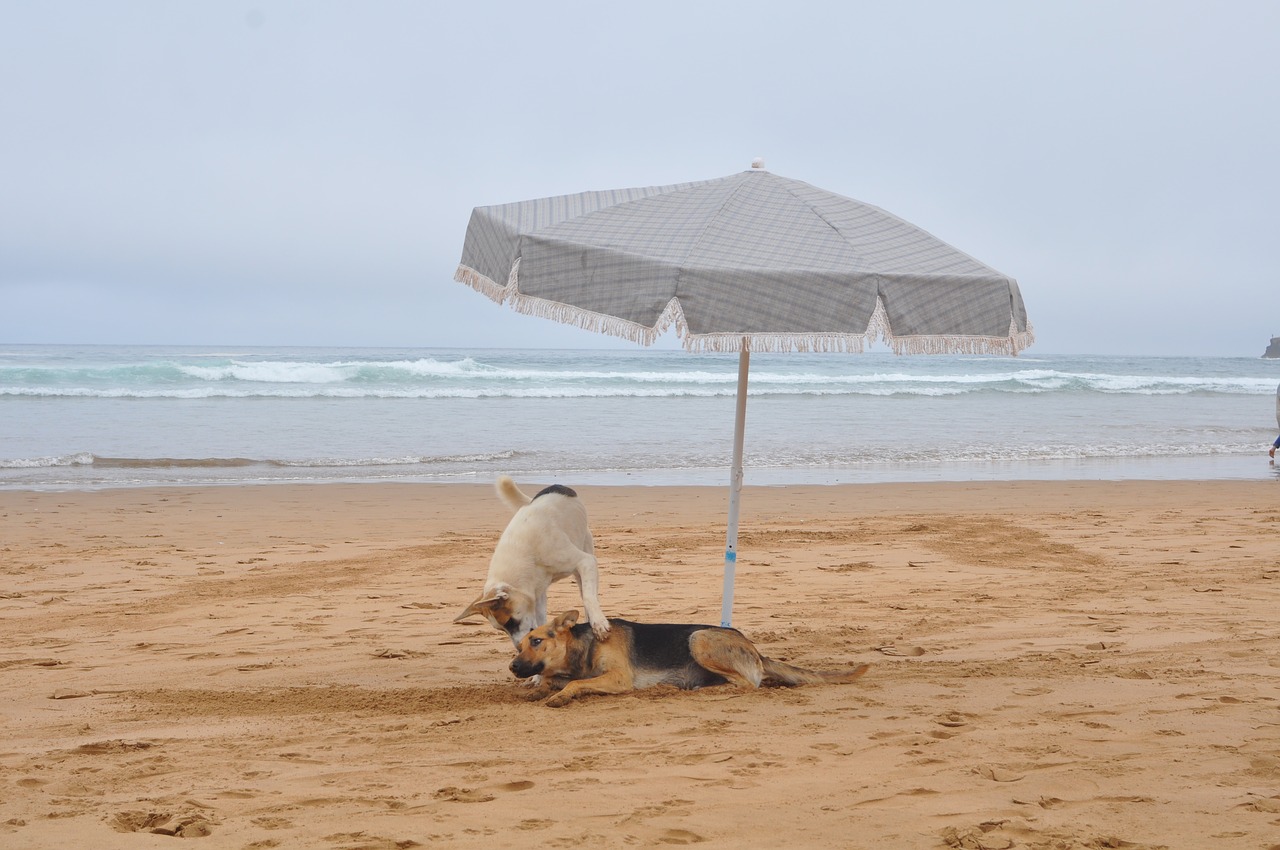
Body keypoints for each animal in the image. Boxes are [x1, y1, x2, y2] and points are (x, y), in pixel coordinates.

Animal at [455, 478, 609, 645]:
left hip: (585, 557)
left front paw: (599, 623)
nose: (518, 648)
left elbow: (588, 597)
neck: (526, 554)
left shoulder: (585, 562)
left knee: (587, 593)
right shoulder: (538, 593)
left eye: (510, 622)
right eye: (501, 629)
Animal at [509, 606, 870, 706]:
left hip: (699, 639)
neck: (585, 645)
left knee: (746, 684)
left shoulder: (618, 678)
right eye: (519, 645)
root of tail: (756, 650)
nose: (512, 666)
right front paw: (542, 688)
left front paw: (560, 695)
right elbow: (555, 681)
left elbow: (573, 685)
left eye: (537, 640)